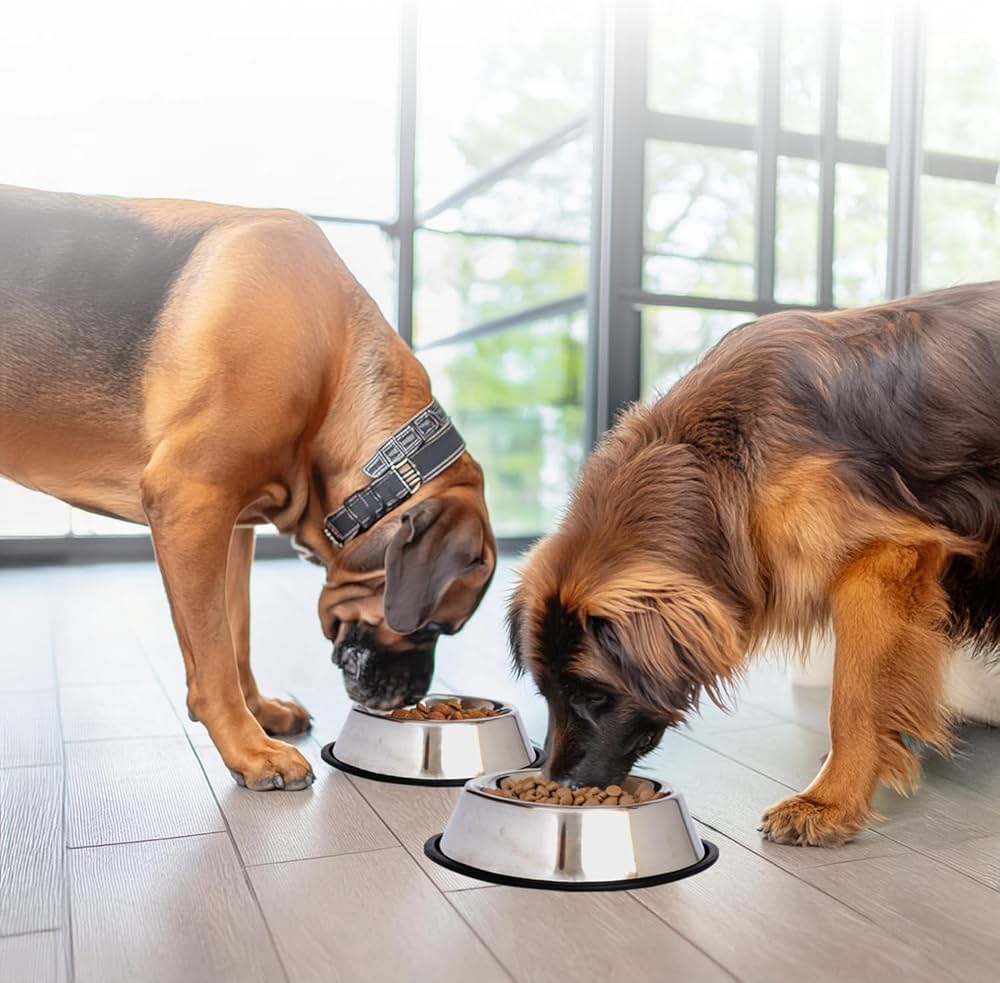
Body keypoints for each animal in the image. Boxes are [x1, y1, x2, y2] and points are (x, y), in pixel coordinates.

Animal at [0, 186, 498, 792]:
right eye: (434, 627)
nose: (412, 697)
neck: (331, 368)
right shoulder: (190, 501)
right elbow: (213, 657)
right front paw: (249, 750)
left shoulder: (233, 526)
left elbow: (235, 635)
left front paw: (259, 715)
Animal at [512, 282, 996, 844]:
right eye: (546, 691)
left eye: (593, 695)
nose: (557, 783)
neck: (716, 461)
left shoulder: (883, 558)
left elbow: (852, 699)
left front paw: (829, 801)